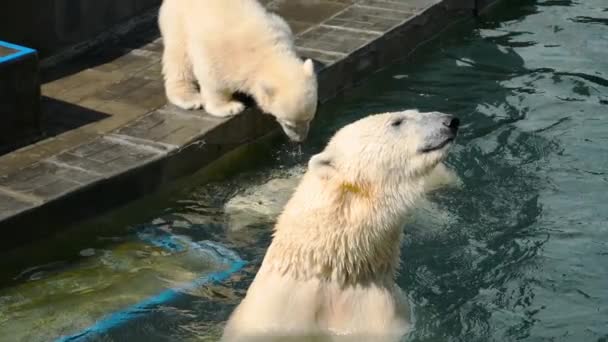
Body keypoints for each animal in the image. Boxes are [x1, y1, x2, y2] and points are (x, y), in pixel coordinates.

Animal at [157, 0, 318, 142]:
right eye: (288, 123)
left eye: (310, 118)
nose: (300, 139)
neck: (264, 51)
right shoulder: (220, 53)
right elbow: (213, 77)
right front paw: (230, 108)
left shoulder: (279, 27)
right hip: (178, 20)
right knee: (179, 58)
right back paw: (189, 98)